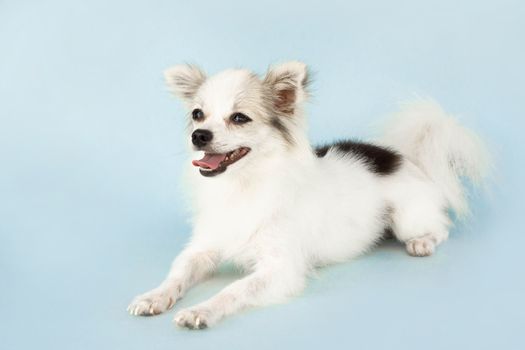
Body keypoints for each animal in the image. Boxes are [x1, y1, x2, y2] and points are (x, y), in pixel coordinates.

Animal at [128, 62, 492, 328]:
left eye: (239, 118)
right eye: (197, 115)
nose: (199, 135)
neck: (244, 185)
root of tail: (406, 157)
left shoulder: (280, 270)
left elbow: (234, 289)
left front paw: (202, 310)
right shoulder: (201, 250)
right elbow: (177, 274)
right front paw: (154, 296)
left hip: (408, 218)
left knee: (441, 227)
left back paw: (422, 243)